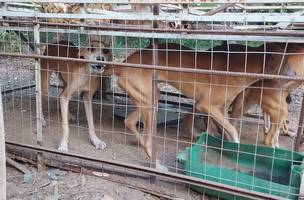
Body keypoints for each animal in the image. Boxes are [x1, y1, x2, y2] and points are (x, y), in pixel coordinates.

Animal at [103, 42, 294, 158]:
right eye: (283, 62)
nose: (295, 76)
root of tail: (121, 64)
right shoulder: (206, 105)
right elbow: (233, 131)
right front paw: (236, 146)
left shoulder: (221, 108)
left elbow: (222, 130)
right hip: (148, 100)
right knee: (145, 135)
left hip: (151, 98)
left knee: (129, 121)